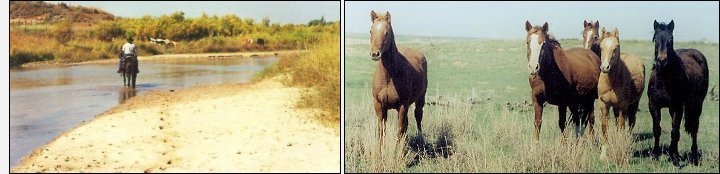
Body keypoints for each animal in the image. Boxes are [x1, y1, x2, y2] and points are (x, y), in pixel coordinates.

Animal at [372, 10, 428, 147]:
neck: (389, 77)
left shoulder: (403, 105)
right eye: (371, 31)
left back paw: (420, 139)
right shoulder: (379, 105)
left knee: (418, 116)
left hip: (420, 98)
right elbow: (381, 130)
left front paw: (398, 151)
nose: (375, 53)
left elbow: (400, 129)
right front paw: (379, 150)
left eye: (386, 32)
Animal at [596, 26, 648, 158]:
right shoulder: (604, 104)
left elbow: (621, 125)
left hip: (633, 104)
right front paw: (603, 154)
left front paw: (620, 148)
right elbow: (605, 127)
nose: (605, 67)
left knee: (631, 123)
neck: (611, 82)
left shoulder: (623, 105)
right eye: (601, 47)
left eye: (616, 47)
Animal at [648, 20, 708, 166]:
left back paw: (694, 157)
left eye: (670, 40)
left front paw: (675, 158)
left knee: (694, 128)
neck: (664, 80)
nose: (662, 61)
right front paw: (656, 155)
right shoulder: (653, 106)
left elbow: (675, 131)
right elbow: (657, 130)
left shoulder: (678, 107)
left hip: (697, 105)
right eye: (656, 40)